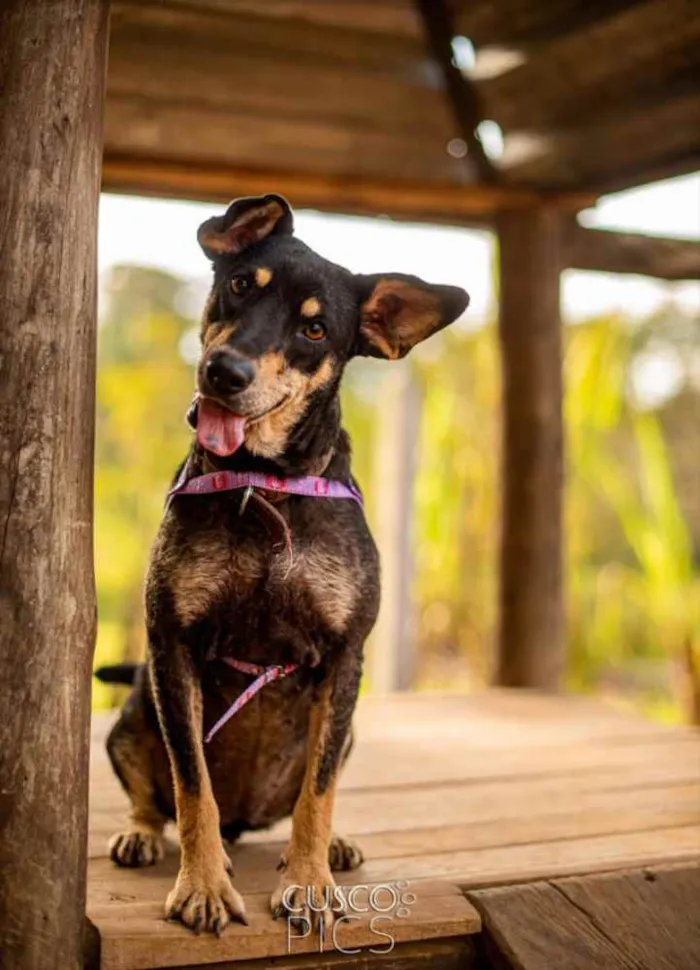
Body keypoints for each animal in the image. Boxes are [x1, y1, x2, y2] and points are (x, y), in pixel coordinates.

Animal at [95, 193, 468, 932]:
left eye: (316, 330)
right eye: (241, 284)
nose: (225, 372)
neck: (264, 483)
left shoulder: (344, 656)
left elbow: (316, 794)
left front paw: (310, 881)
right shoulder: (172, 645)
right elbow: (191, 784)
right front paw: (203, 885)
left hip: (345, 732)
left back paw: (336, 845)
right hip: (130, 718)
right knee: (153, 796)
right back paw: (141, 835)